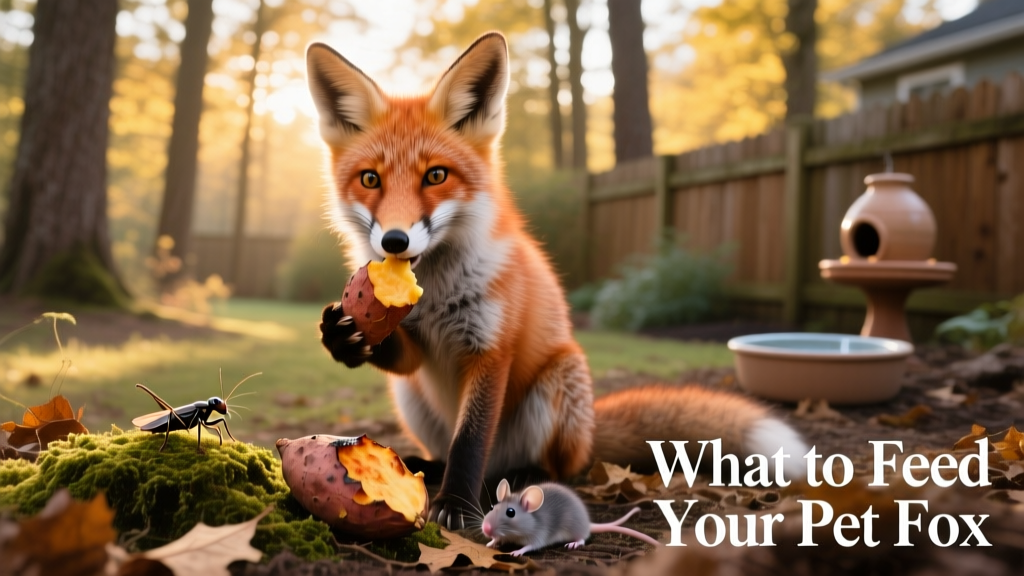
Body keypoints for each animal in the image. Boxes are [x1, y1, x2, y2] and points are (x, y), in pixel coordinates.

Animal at [307, 32, 808, 529]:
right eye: (370, 179)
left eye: (436, 175)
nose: (394, 240)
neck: (437, 292)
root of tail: (588, 435)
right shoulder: (415, 344)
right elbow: (401, 358)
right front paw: (342, 336)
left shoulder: (491, 348)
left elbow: (469, 441)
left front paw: (456, 505)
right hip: (412, 398)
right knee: (448, 452)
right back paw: (426, 466)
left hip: (559, 381)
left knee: (548, 467)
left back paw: (525, 476)